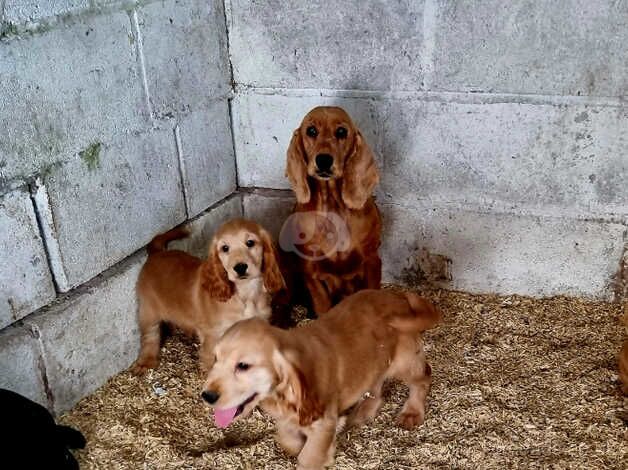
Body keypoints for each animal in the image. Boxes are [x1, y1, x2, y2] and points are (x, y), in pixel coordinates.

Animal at [135, 218, 288, 374]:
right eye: (225, 248)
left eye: (250, 242)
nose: (240, 267)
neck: (245, 293)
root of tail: (156, 253)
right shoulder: (212, 336)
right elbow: (211, 362)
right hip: (148, 311)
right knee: (150, 336)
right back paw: (145, 362)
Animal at [204, 290, 440, 470]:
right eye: (215, 359)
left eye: (243, 366)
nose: (207, 396)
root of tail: (399, 295)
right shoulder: (288, 419)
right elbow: (289, 440)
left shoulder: (323, 422)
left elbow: (309, 457)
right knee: (376, 387)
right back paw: (363, 412)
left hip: (404, 361)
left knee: (423, 378)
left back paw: (411, 413)